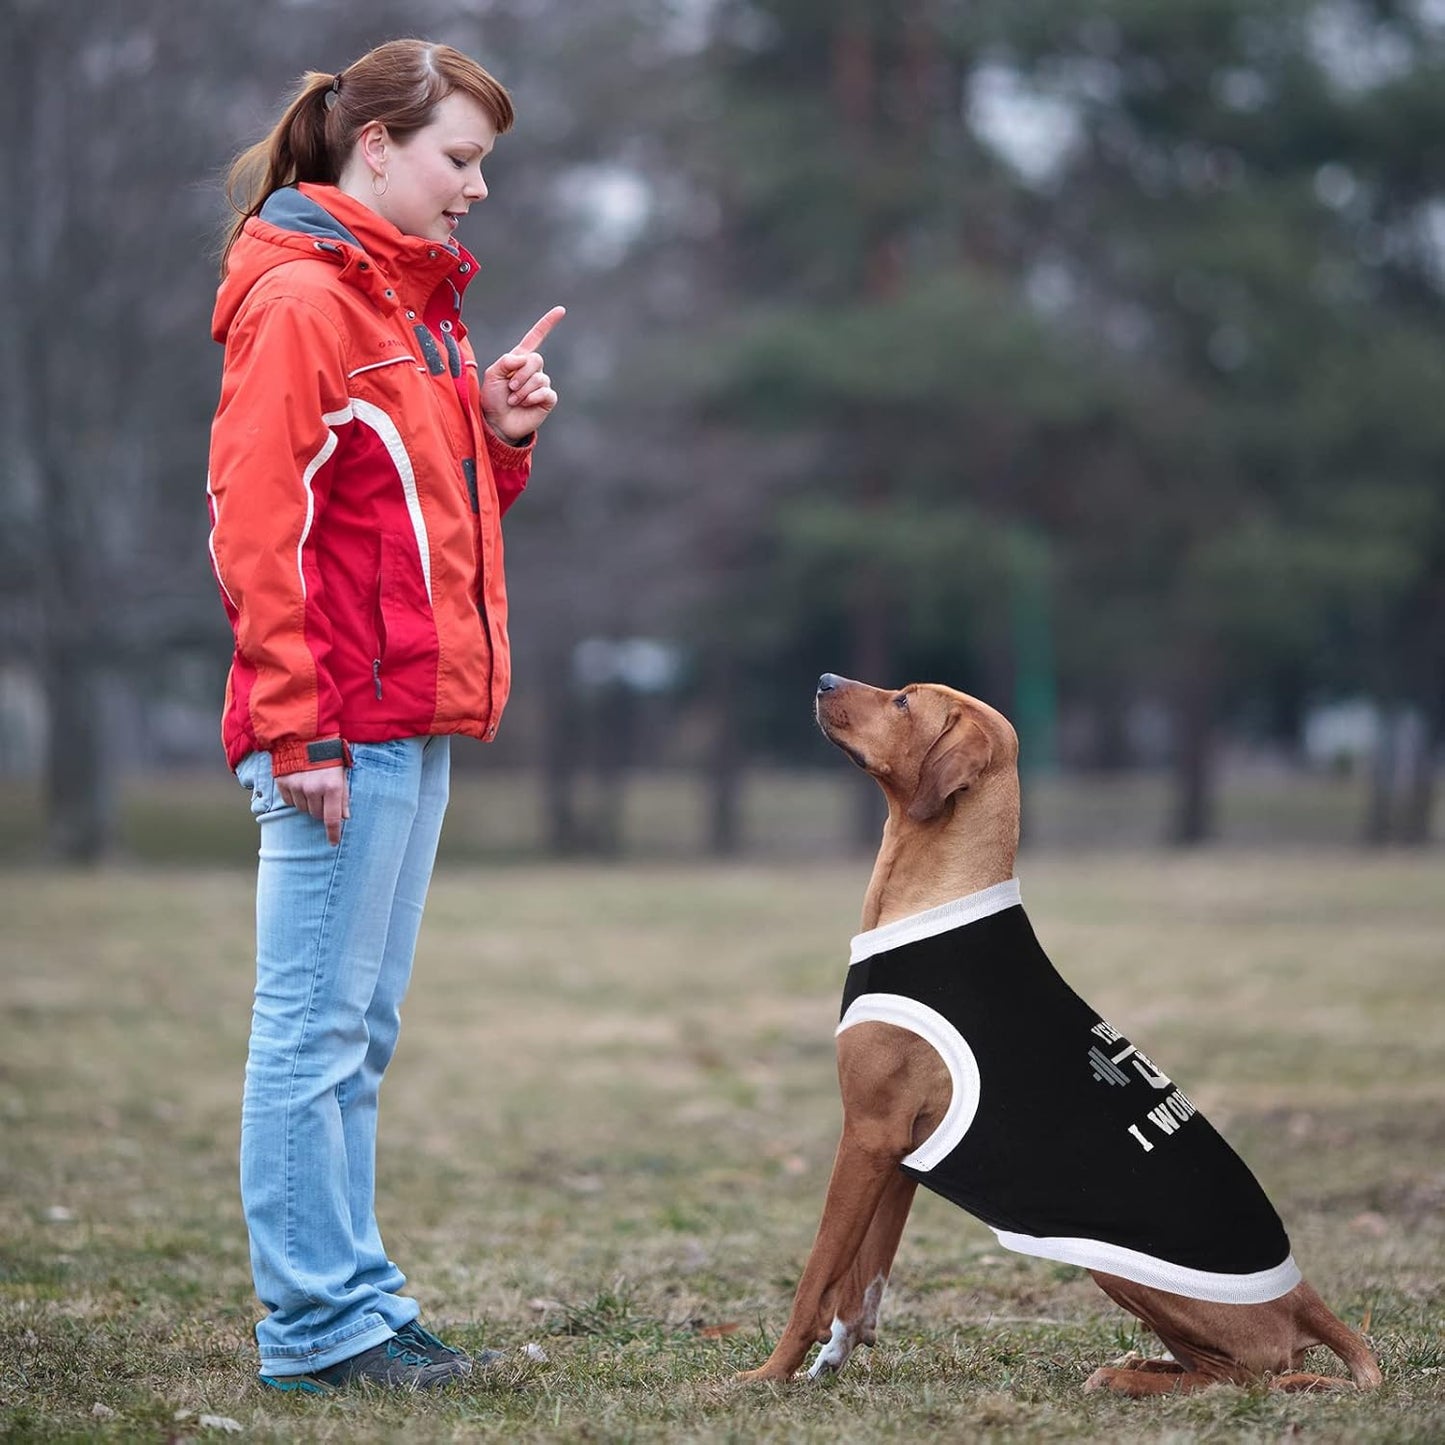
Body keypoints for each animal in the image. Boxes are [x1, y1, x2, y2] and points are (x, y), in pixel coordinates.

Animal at [739, 670, 1381, 1392]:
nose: (823, 679)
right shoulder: (900, 1151)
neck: (935, 896)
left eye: (903, 700)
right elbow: (861, 1283)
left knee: (1246, 1374)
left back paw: (1129, 1379)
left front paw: (769, 1372)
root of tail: (1305, 1298)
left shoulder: (867, 1135)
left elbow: (816, 1275)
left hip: (1119, 1266)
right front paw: (833, 1357)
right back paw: (1140, 1364)